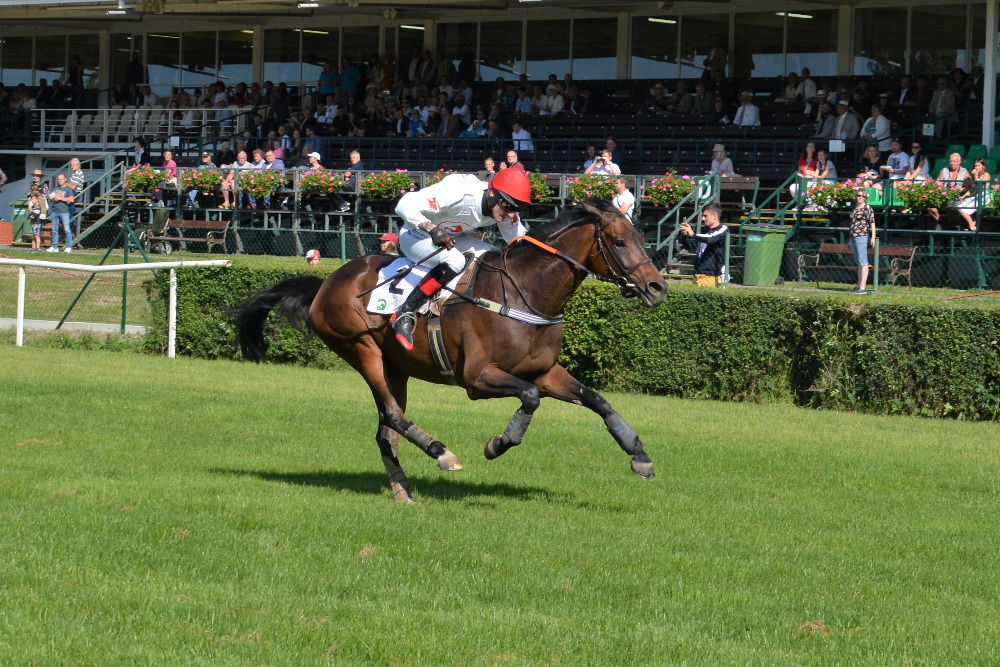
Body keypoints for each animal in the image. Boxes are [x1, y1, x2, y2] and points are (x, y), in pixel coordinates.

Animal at [238, 201, 668, 504]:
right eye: (618, 242)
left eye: (643, 239)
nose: (657, 287)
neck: (526, 293)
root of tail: (326, 282)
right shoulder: (477, 377)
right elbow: (529, 398)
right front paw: (498, 443)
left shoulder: (545, 371)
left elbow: (598, 401)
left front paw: (640, 455)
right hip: (361, 349)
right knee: (392, 415)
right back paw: (440, 452)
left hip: (395, 366)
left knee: (386, 429)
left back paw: (404, 493)